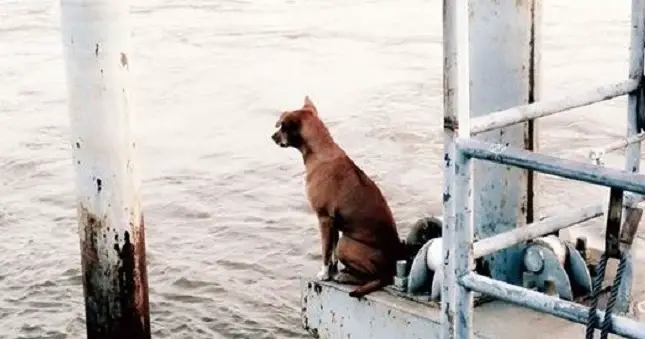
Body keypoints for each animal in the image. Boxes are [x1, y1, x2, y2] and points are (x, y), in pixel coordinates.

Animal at [270, 97, 402, 298]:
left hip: (346, 244)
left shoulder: (324, 219)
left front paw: (324, 275)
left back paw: (347, 277)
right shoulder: (333, 224)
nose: (273, 137)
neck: (319, 150)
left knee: (369, 276)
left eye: (282, 126)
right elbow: (331, 254)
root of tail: (390, 272)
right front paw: (331, 272)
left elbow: (326, 252)